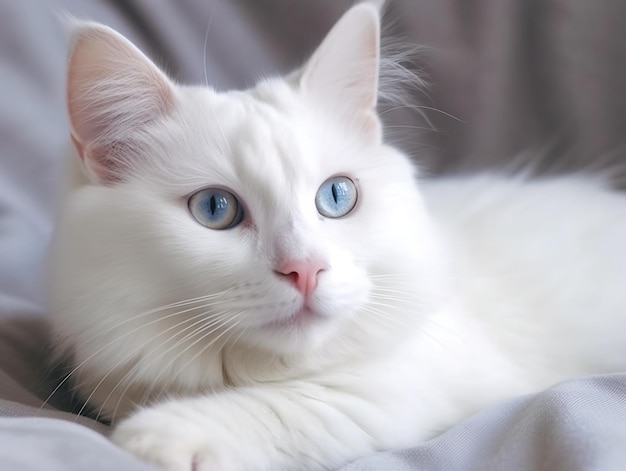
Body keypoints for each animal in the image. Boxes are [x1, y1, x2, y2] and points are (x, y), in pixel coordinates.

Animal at [48, 3, 624, 471]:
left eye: (337, 197)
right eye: (215, 209)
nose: (305, 269)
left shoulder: (400, 385)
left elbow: (294, 406)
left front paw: (157, 436)